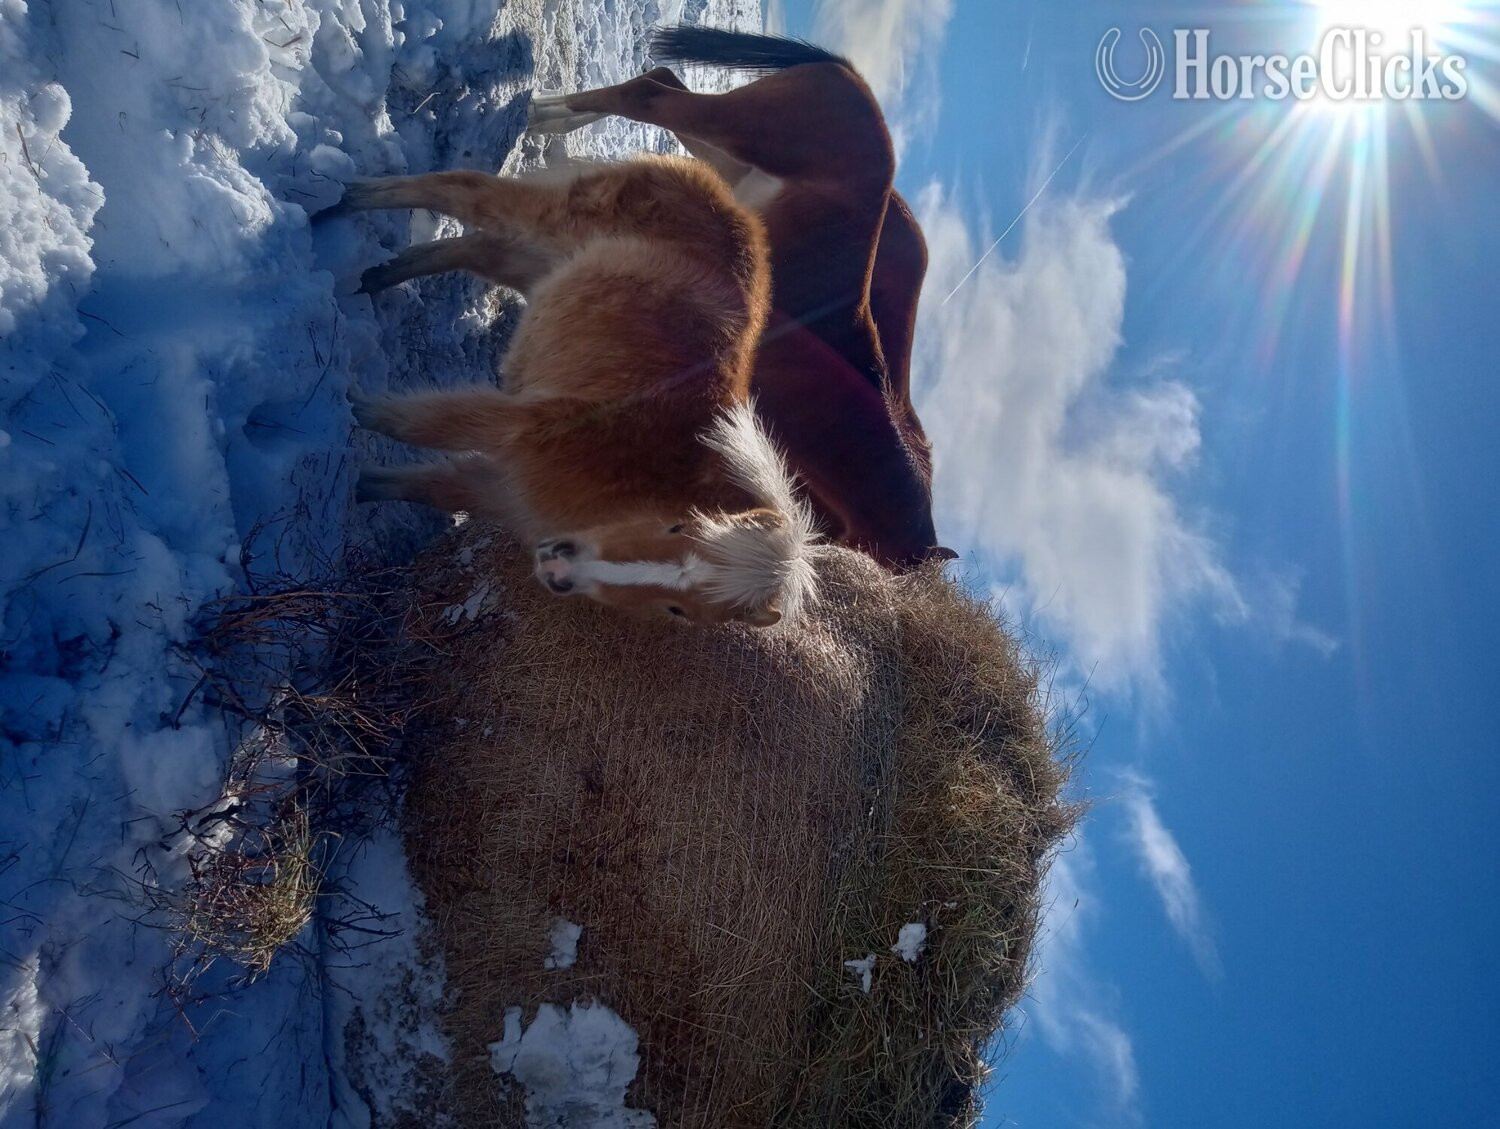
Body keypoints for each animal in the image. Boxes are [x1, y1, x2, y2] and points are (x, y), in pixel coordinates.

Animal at [323, 155, 818, 627]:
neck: (634, 469)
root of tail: (731, 201)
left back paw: (375, 275)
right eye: (677, 529)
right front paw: (341, 408)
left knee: (475, 248)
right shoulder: (514, 426)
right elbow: (413, 422)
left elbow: (420, 486)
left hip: (539, 264)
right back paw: (342, 200)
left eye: (679, 610)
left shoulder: (499, 491)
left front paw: (356, 488)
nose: (557, 569)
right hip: (545, 220)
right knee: (459, 190)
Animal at [527, 27, 954, 571]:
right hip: (733, 131)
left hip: (727, 155)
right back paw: (540, 117)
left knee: (660, 82)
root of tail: (852, 79)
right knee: (649, 95)